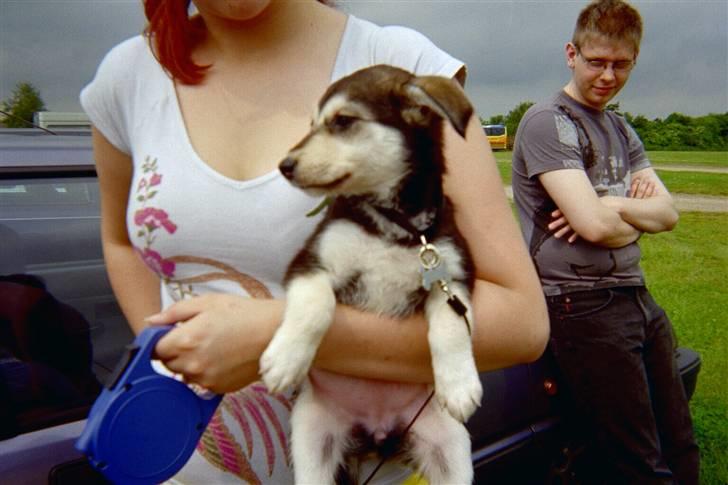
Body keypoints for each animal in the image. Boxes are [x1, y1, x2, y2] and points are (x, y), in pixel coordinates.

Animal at [262, 65, 484, 484]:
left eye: (343, 121)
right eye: (312, 124)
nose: (284, 166)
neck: (394, 226)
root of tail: (377, 429)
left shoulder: (453, 279)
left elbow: (450, 330)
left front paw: (460, 383)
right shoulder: (310, 263)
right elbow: (314, 307)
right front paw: (285, 358)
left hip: (449, 447)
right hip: (312, 438)